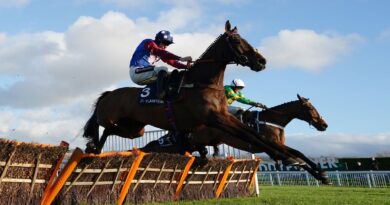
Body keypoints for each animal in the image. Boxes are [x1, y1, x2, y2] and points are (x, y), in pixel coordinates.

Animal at [84, 20, 298, 165]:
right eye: (236, 40)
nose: (262, 61)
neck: (203, 83)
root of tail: (109, 94)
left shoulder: (224, 116)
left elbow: (255, 135)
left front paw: (289, 156)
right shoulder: (215, 118)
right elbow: (252, 136)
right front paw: (289, 157)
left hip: (135, 129)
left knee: (111, 131)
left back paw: (94, 149)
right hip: (116, 117)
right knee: (103, 127)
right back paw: (92, 147)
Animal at [142, 94, 330, 184]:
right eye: (311, 109)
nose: (324, 125)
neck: (273, 121)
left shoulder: (278, 145)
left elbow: (299, 153)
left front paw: (322, 173)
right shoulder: (272, 145)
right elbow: (296, 156)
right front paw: (320, 174)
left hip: (193, 144)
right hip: (188, 143)